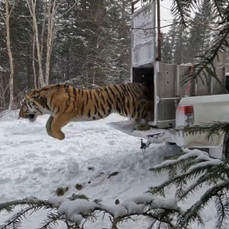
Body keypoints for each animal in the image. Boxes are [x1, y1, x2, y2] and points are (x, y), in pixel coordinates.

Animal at [19, 82, 154, 140]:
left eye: (24, 105)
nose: (19, 116)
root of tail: (137, 84)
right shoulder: (55, 113)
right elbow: (48, 125)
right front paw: (54, 135)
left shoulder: (65, 112)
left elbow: (54, 125)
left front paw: (61, 136)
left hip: (130, 107)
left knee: (148, 108)